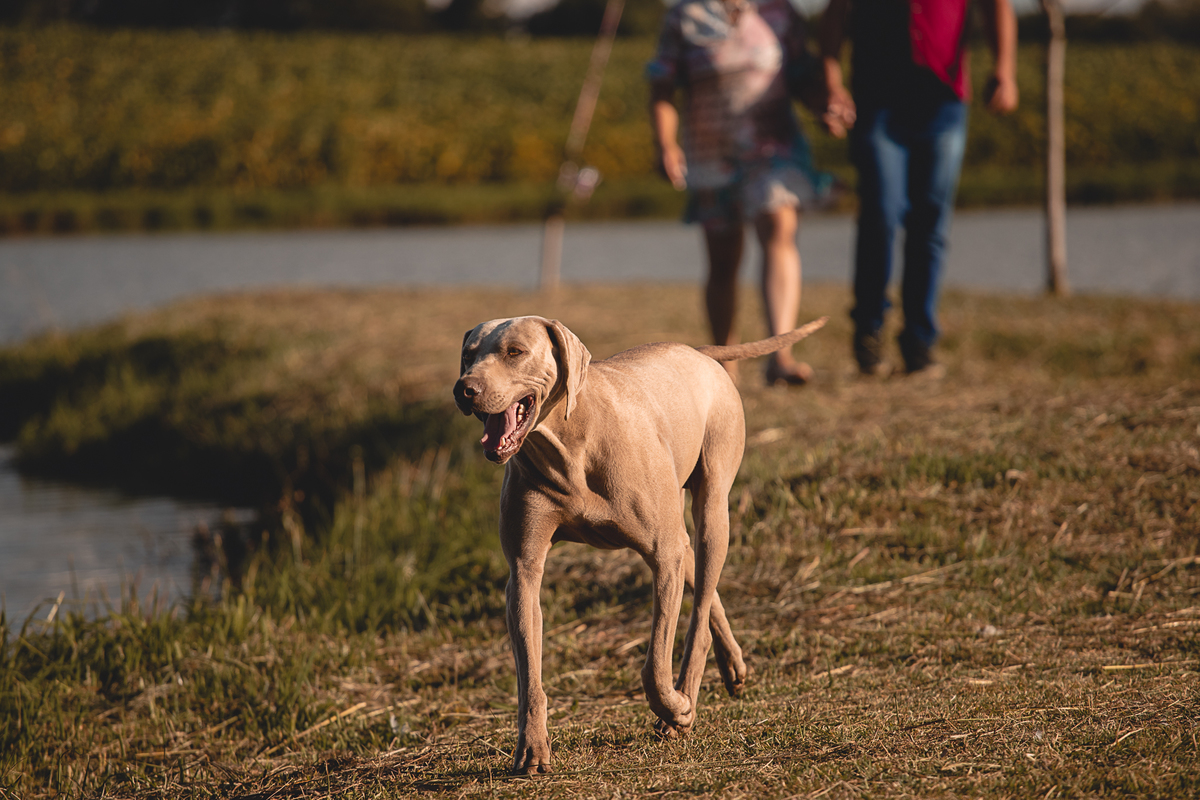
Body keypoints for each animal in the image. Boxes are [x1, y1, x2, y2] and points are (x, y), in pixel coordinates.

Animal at [453, 315, 826, 774]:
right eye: (468, 354)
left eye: (515, 352)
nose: (464, 389)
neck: (571, 442)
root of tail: (698, 351)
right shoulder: (523, 572)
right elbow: (529, 675)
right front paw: (533, 747)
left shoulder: (662, 555)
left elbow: (654, 665)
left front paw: (676, 709)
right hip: (683, 527)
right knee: (702, 588)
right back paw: (732, 664)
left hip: (712, 508)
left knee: (699, 612)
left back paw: (685, 700)